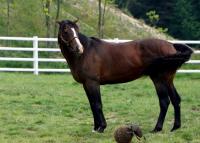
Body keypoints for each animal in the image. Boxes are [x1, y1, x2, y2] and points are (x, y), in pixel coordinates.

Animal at [56, 19, 192, 133]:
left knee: (164, 101)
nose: (79, 48)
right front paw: (95, 127)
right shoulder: (86, 84)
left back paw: (157, 128)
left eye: (77, 30)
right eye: (66, 30)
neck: (85, 54)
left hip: (159, 79)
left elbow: (97, 104)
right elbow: (92, 104)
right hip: (168, 80)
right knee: (175, 100)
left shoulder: (92, 83)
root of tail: (171, 45)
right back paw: (175, 127)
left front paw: (101, 127)